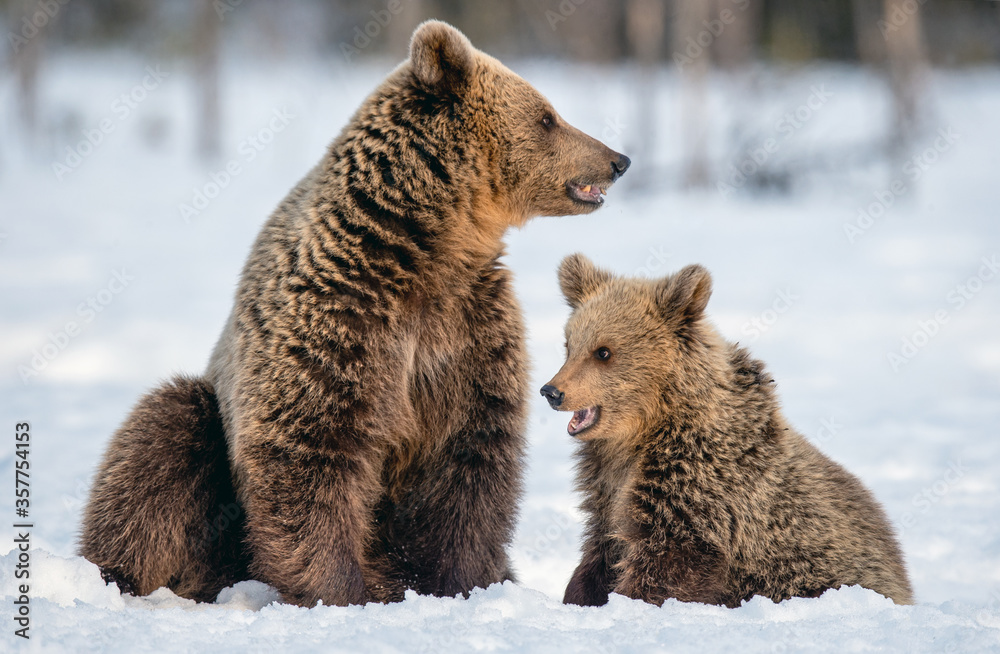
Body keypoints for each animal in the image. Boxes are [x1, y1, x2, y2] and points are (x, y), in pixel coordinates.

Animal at [80, 21, 630, 608]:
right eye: (547, 116)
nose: (618, 159)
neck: (425, 249)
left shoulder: (468, 331)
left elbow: (471, 457)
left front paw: (461, 583)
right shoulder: (341, 318)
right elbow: (313, 447)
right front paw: (338, 589)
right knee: (162, 438)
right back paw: (119, 576)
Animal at [539, 254, 913, 608]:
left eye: (603, 351)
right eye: (569, 345)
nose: (551, 391)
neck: (644, 433)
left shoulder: (698, 488)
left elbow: (665, 566)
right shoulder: (606, 485)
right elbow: (602, 548)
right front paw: (579, 595)